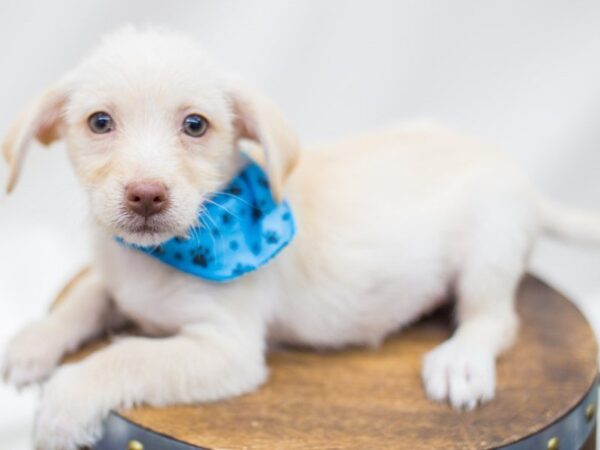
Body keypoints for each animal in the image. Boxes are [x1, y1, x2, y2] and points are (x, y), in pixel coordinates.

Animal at [2, 28, 596, 450]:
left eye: (195, 125)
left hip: (489, 250)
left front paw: (63, 404)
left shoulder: (227, 350)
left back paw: (463, 359)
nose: (146, 196)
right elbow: (81, 300)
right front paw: (32, 344)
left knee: (495, 319)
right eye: (100, 122)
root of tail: (515, 172)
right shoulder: (114, 280)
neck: (159, 258)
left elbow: (124, 357)